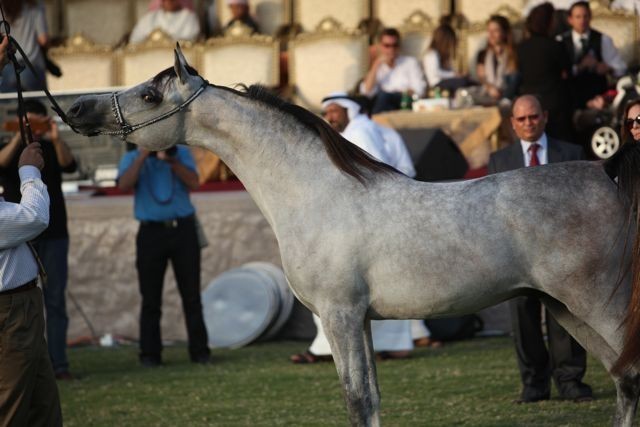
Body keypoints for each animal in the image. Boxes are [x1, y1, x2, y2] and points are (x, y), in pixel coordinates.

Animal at [64, 46, 640, 426]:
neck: (317, 193)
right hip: (565, 309)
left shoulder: (339, 315)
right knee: (623, 378)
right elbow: (372, 399)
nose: (74, 109)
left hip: (597, 306)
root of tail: (612, 178)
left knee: (628, 375)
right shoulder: (358, 320)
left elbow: (357, 400)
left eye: (148, 93)